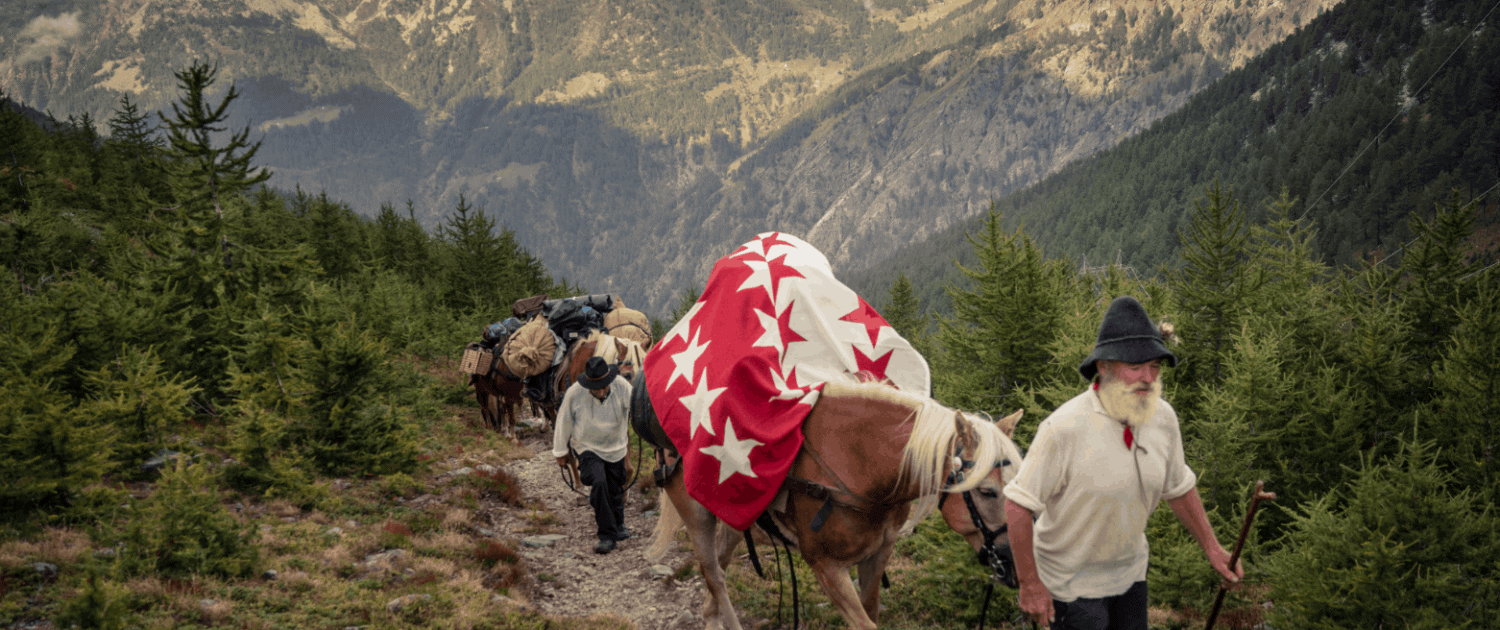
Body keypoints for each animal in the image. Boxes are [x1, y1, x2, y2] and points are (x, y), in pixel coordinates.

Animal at [639, 373, 1026, 630]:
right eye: (987, 492)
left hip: (735, 519)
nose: (1016, 566)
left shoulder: (877, 556)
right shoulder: (827, 567)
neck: (860, 464)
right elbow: (864, 625)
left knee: (717, 567)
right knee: (713, 573)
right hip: (696, 515)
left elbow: (871, 611)